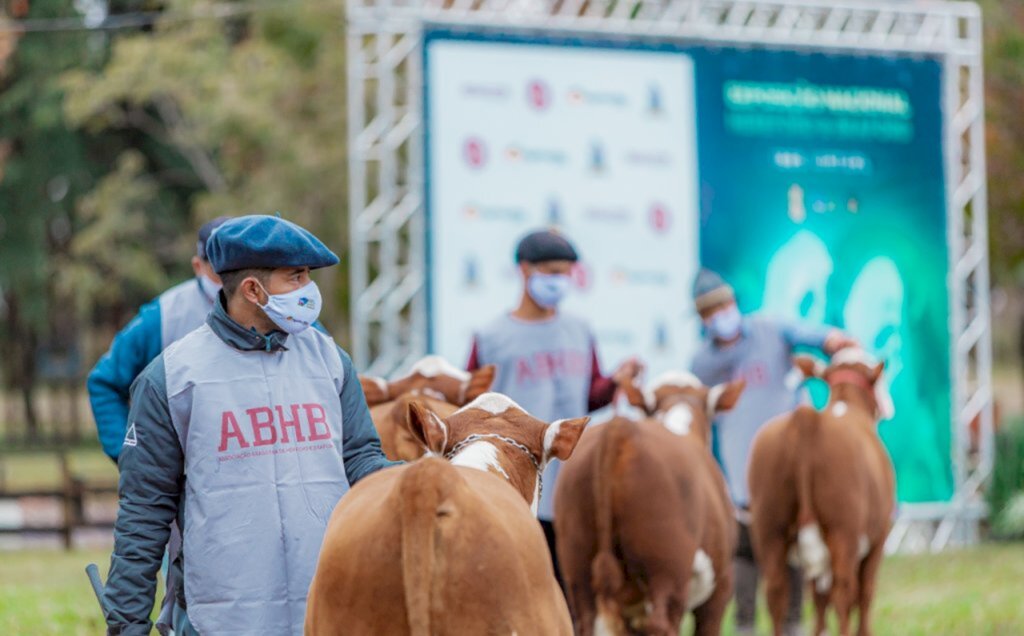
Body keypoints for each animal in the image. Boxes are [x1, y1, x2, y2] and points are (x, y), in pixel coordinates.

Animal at [552, 372, 745, 634]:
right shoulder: (721, 587)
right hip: (668, 569)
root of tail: (621, 428)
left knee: (585, 618)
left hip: (578, 568)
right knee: (662, 623)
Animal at [745, 348, 897, 634]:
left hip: (769, 528)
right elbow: (865, 593)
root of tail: (807, 418)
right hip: (844, 530)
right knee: (845, 592)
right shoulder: (879, 537)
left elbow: (818, 599)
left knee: (777, 593)